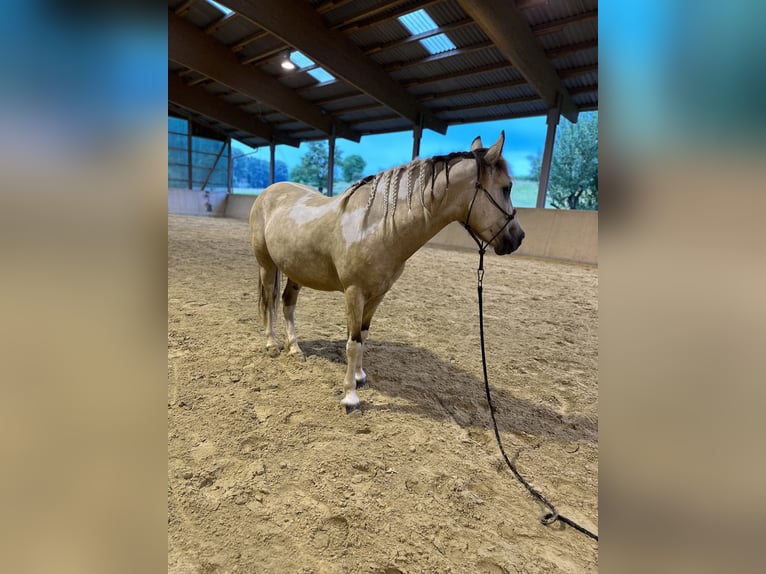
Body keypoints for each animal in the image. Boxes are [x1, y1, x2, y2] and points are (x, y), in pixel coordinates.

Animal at [252, 134, 528, 414]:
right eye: (507, 187)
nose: (518, 237)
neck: (376, 226)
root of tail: (269, 191)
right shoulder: (354, 293)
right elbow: (353, 343)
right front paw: (350, 397)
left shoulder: (377, 294)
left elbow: (363, 335)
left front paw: (360, 377)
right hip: (267, 265)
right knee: (269, 302)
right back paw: (272, 345)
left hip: (295, 270)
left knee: (288, 305)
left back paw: (295, 349)